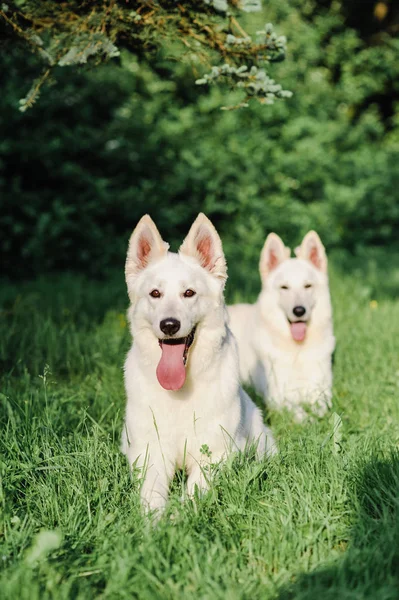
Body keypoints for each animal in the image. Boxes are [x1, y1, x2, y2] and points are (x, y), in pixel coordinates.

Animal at [122, 213, 276, 512]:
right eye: (155, 293)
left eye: (189, 293)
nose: (169, 325)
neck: (180, 391)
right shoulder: (151, 454)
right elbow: (152, 495)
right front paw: (154, 520)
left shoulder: (215, 455)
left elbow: (193, 492)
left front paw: (178, 518)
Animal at [228, 231, 334, 422]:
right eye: (284, 287)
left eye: (308, 286)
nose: (299, 311)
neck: (297, 350)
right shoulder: (277, 397)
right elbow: (299, 411)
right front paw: (310, 421)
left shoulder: (322, 392)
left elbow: (322, 408)